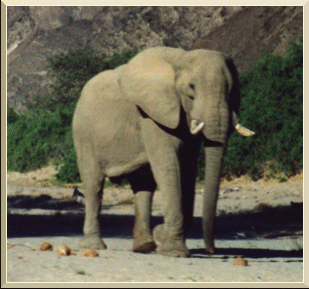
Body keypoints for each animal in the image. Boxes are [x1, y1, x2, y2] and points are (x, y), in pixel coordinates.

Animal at [71, 46, 253, 256]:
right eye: (191, 87)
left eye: (232, 90)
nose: (211, 251)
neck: (180, 59)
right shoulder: (152, 115)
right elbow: (169, 167)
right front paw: (174, 251)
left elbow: (188, 171)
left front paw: (162, 237)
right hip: (84, 134)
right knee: (94, 184)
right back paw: (94, 246)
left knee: (143, 185)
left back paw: (144, 246)